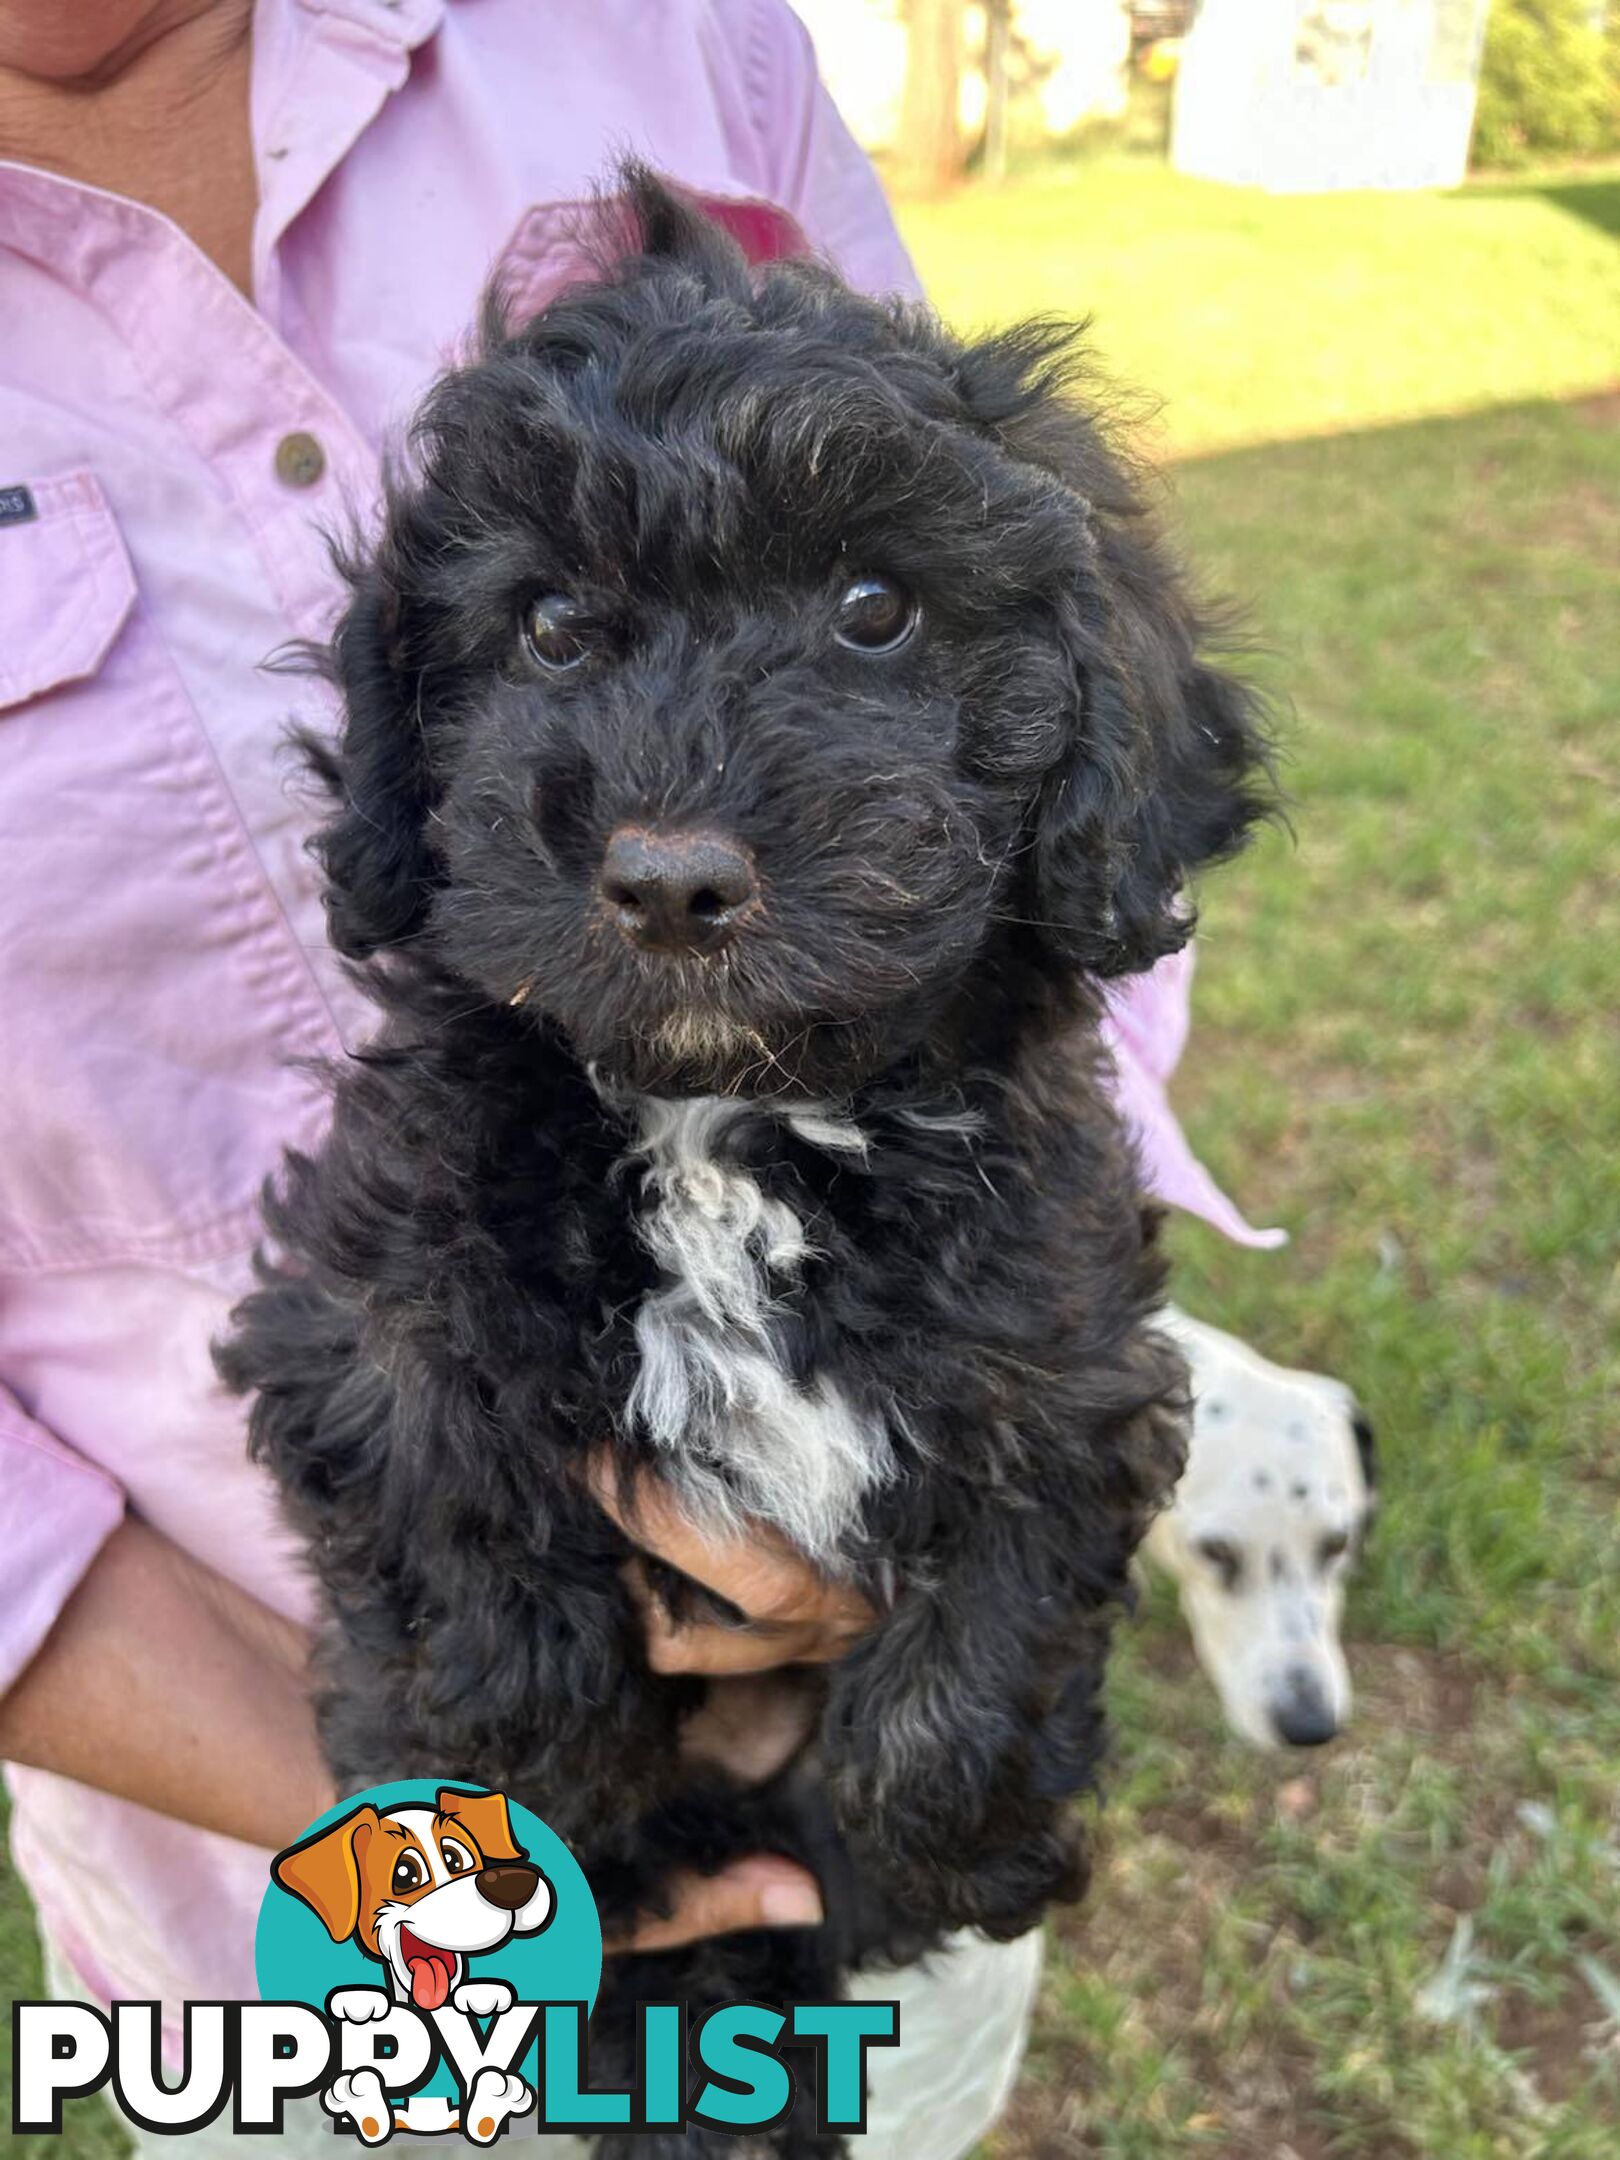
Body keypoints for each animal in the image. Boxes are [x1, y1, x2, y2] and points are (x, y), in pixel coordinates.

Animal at [219, 164, 1278, 2142]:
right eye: (552, 631)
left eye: (877, 608)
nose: (669, 879)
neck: (731, 1116)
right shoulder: (367, 1295)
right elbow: (449, 1504)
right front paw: (518, 1796)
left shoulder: (1058, 1340)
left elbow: (993, 1611)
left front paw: (943, 1849)